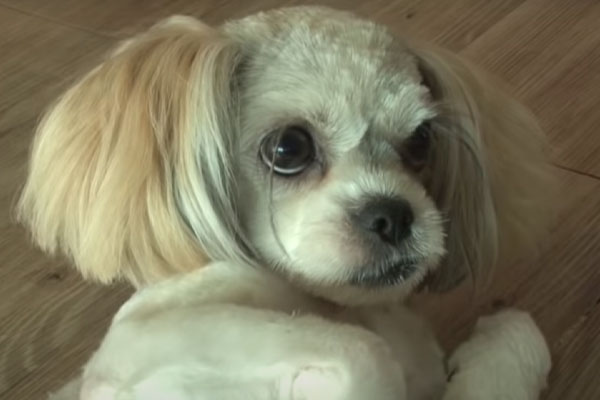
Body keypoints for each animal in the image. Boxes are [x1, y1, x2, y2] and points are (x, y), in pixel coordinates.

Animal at [17, 6, 552, 400]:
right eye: (288, 148)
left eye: (421, 141)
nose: (393, 216)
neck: (321, 304)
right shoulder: (136, 344)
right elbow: (365, 350)